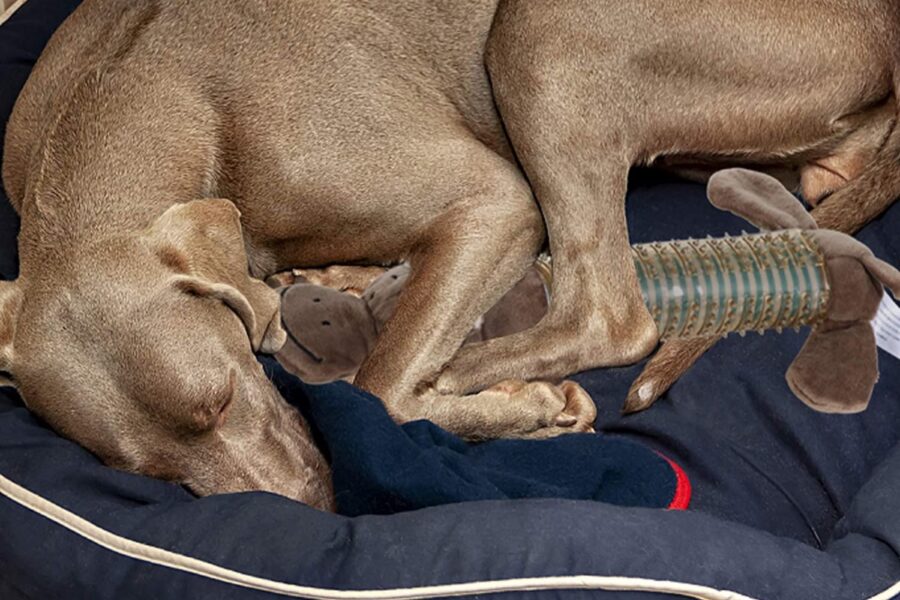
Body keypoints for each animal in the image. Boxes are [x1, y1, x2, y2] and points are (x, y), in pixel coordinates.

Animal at [1, 0, 900, 508]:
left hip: (545, 33)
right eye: (145, 473)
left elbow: (378, 390)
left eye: (220, 399)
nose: (311, 509)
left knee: (607, 314)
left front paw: (522, 408)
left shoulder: (492, 201)